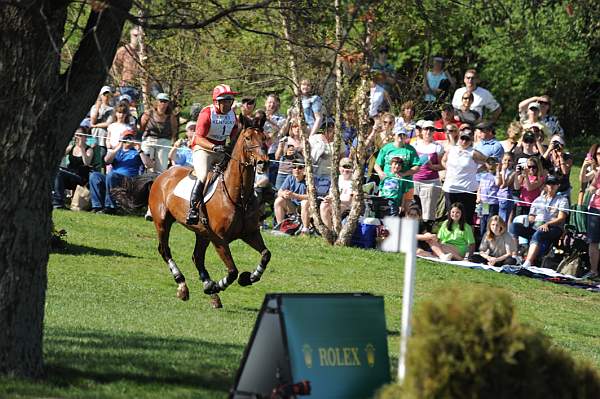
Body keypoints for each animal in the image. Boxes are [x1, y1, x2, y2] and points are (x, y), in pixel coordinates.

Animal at [113, 116, 272, 310]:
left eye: (265, 138)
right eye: (248, 138)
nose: (264, 162)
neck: (239, 197)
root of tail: (162, 174)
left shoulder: (250, 233)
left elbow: (266, 255)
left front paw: (248, 278)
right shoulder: (219, 240)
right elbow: (233, 271)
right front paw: (221, 284)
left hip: (202, 233)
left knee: (197, 257)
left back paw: (211, 291)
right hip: (163, 222)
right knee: (165, 250)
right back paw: (184, 286)